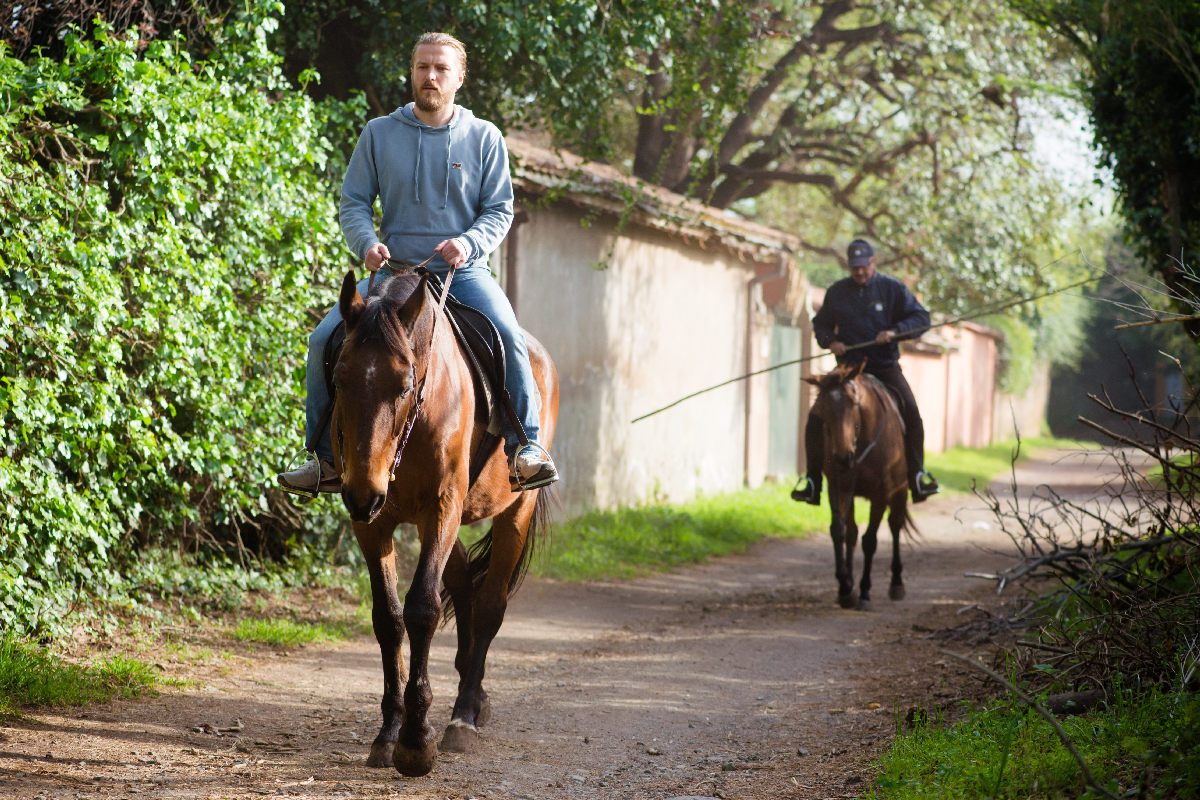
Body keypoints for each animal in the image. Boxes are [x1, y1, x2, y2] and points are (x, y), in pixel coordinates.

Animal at [333, 268, 556, 777]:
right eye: (338, 379)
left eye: (404, 385)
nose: (363, 492)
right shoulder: (373, 523)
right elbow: (388, 617)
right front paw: (388, 733)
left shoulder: (442, 508)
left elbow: (423, 609)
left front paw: (416, 742)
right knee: (464, 586)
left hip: (513, 511)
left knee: (490, 603)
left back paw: (465, 716)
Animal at [811, 359, 912, 609]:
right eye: (822, 409)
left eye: (853, 405)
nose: (842, 458)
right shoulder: (838, 487)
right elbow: (840, 532)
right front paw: (846, 588)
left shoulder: (881, 494)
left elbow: (870, 540)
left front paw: (865, 591)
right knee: (853, 532)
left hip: (900, 491)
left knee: (895, 526)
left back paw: (896, 583)